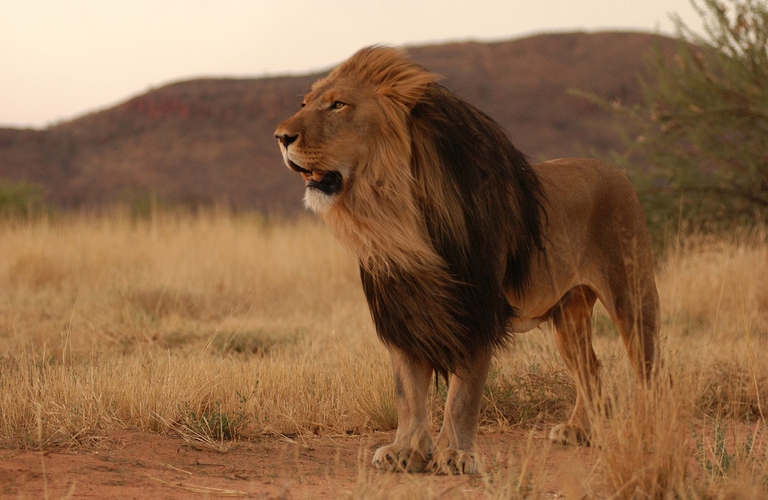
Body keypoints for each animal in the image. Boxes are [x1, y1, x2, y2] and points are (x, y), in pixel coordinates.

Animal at [274, 46, 660, 475]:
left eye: (338, 105)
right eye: (304, 104)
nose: (281, 137)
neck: (395, 217)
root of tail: (617, 172)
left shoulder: (476, 312)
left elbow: (462, 395)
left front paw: (456, 454)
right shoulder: (403, 313)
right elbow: (407, 393)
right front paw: (405, 451)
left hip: (632, 298)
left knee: (649, 369)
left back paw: (647, 429)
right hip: (567, 313)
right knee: (591, 367)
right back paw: (579, 431)